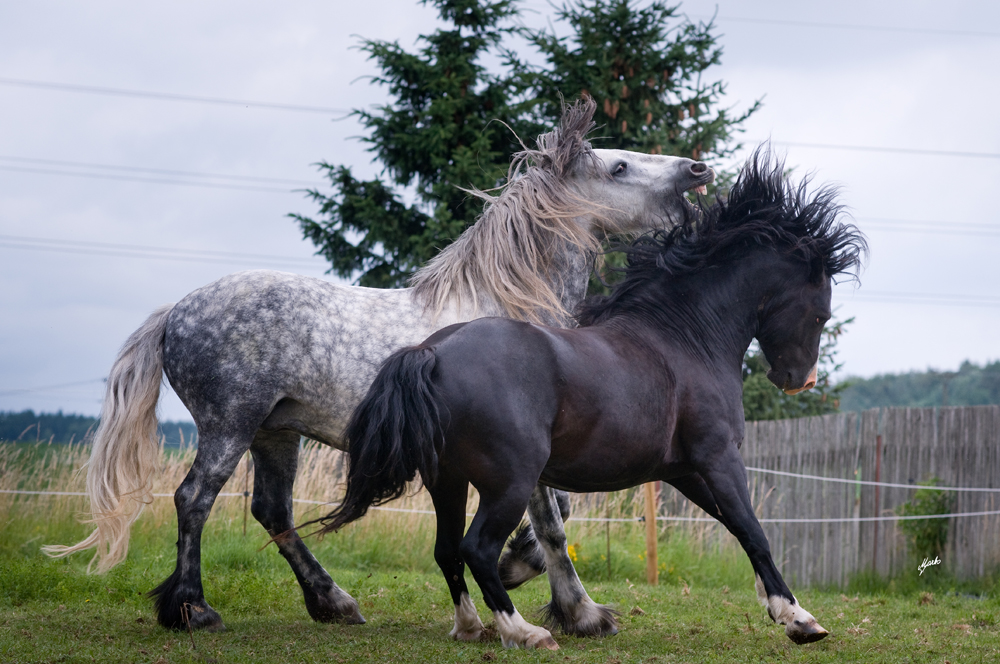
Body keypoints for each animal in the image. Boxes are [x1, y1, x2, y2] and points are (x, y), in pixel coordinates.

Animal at [322, 152, 868, 648]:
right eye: (821, 311)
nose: (799, 380)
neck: (684, 338)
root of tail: (432, 353)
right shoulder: (717, 457)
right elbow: (753, 530)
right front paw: (799, 619)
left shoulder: (683, 470)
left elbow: (735, 526)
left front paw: (779, 608)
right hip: (509, 481)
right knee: (475, 548)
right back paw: (526, 631)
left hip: (449, 481)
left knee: (446, 550)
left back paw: (470, 627)